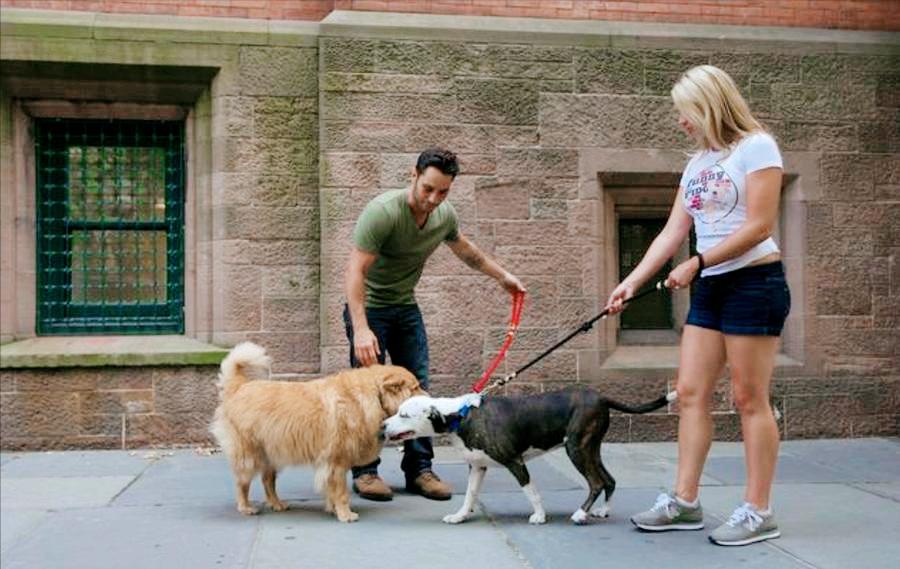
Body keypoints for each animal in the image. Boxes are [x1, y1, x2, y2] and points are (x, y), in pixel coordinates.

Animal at [210, 342, 424, 522]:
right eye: (415, 388)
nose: (429, 396)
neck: (374, 394)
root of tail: (238, 387)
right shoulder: (337, 462)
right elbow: (341, 493)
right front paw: (345, 514)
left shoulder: (332, 464)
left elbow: (332, 491)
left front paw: (333, 509)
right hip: (249, 455)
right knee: (242, 483)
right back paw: (245, 507)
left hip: (270, 455)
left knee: (267, 481)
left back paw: (277, 504)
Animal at [383, 387, 676, 525]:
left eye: (404, 415)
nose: (383, 425)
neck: (461, 415)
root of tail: (601, 397)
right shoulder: (477, 467)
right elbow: (469, 496)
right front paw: (460, 516)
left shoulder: (515, 461)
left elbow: (531, 491)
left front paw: (539, 516)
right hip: (591, 447)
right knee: (609, 480)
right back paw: (603, 510)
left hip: (577, 448)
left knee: (596, 482)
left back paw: (580, 514)